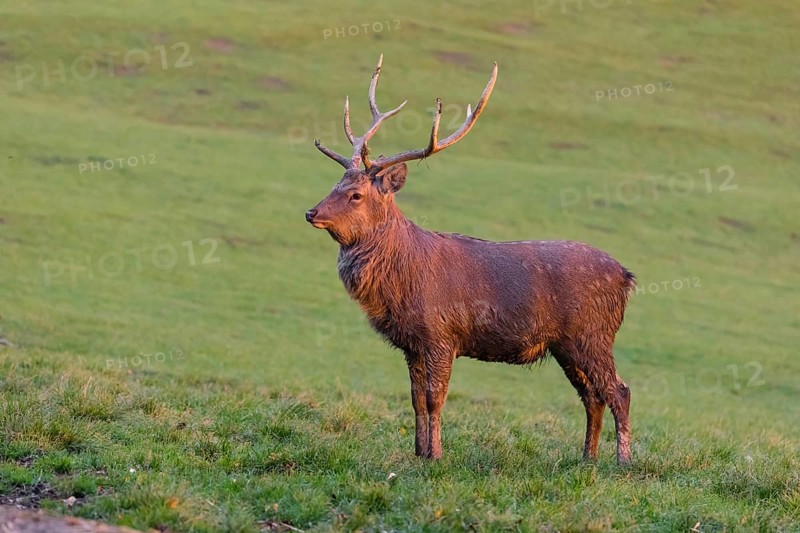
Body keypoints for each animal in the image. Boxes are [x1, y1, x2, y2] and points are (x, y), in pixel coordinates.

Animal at [306, 55, 635, 465]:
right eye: (335, 184)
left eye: (355, 195)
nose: (311, 212)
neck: (401, 281)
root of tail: (626, 277)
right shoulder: (413, 343)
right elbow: (415, 400)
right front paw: (419, 452)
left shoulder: (441, 334)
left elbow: (435, 398)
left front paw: (436, 455)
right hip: (566, 344)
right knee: (591, 395)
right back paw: (586, 457)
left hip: (593, 333)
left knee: (619, 391)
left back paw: (622, 461)